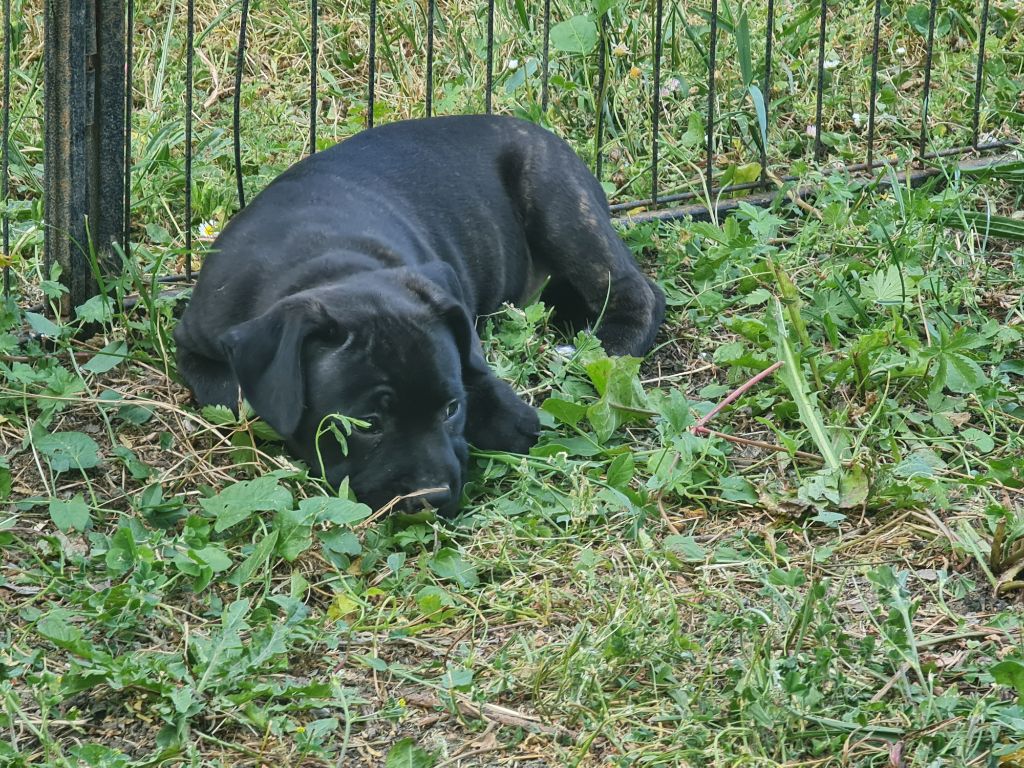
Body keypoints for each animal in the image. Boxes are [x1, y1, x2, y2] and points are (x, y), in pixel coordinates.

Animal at [175, 114, 663, 518]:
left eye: (451, 409)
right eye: (369, 424)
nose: (432, 497)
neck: (327, 264)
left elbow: (477, 371)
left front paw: (509, 418)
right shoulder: (195, 350)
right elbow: (236, 396)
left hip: (558, 202)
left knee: (640, 292)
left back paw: (602, 348)